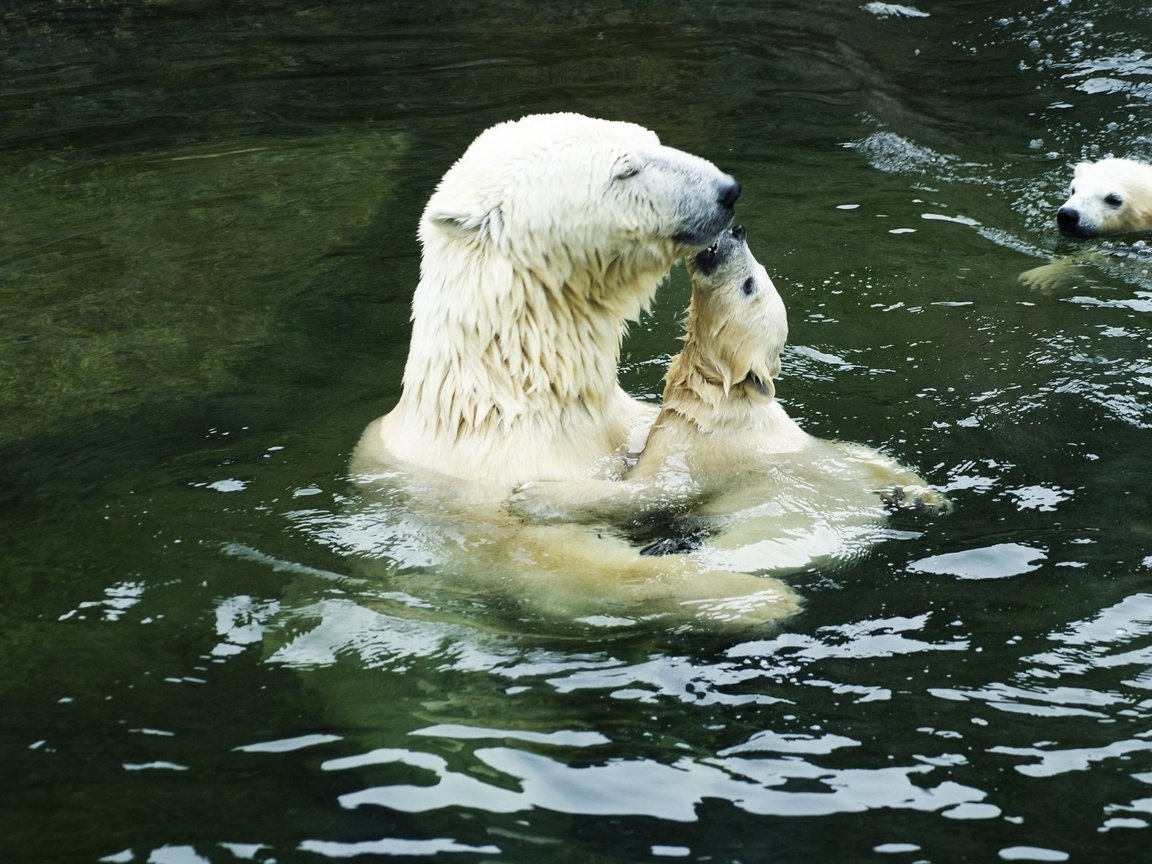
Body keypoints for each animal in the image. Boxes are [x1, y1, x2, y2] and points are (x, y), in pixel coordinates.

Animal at [511, 226, 944, 571]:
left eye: (750, 284)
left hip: (784, 528)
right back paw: (923, 497)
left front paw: (533, 494)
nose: (737, 230)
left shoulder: (702, 448)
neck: (719, 396)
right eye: (760, 274)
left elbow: (651, 491)